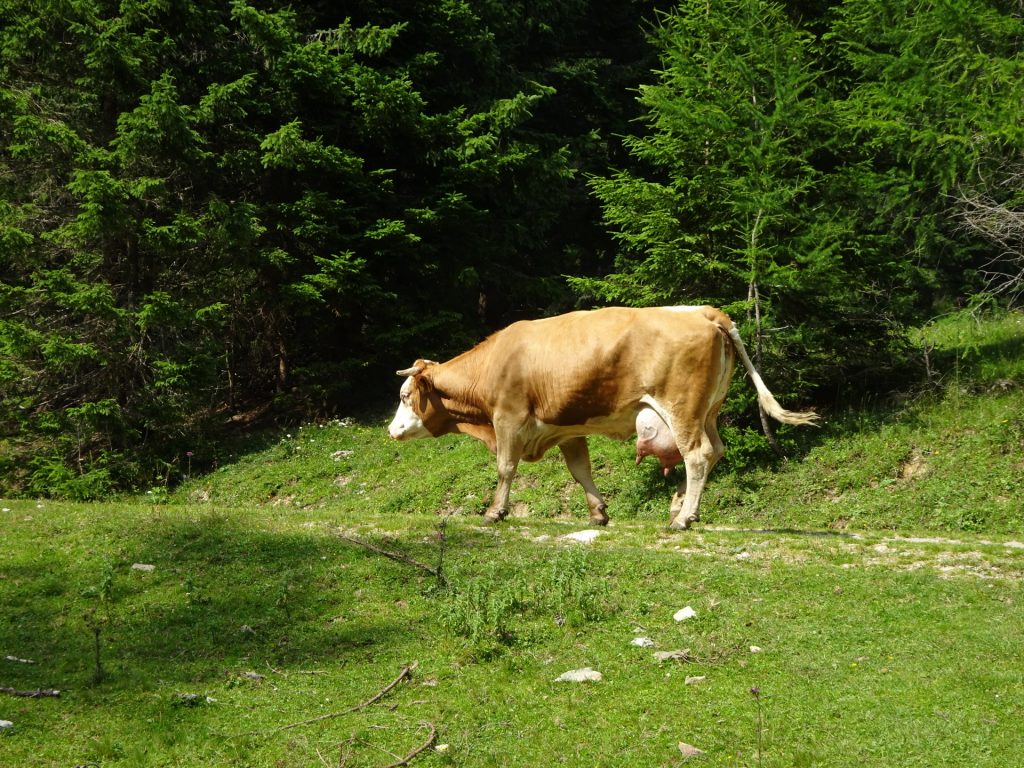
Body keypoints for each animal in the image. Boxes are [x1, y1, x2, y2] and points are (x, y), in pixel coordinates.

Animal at [387, 305, 819, 528]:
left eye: (405, 395)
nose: (391, 430)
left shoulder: (507, 418)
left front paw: (495, 511)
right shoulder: (566, 429)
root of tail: (701, 311)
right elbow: (581, 471)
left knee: (696, 455)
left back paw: (682, 518)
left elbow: (505, 468)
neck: (495, 364)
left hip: (681, 408)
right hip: (707, 411)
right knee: (715, 451)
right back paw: (686, 507)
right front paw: (598, 512)